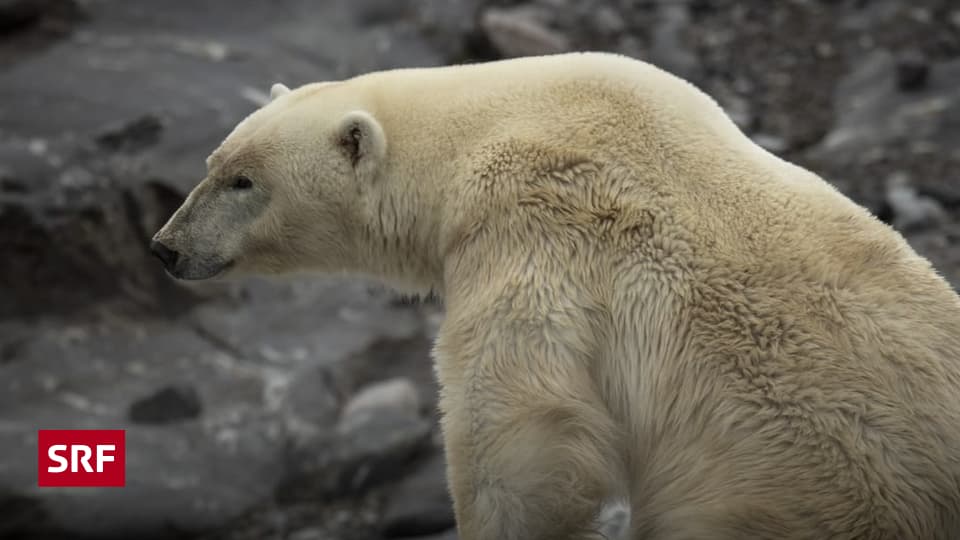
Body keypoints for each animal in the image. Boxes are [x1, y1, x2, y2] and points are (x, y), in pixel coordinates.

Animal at [150, 51, 960, 540]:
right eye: (214, 162)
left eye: (244, 181)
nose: (166, 246)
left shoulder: (531, 227)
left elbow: (522, 430)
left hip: (779, 500)